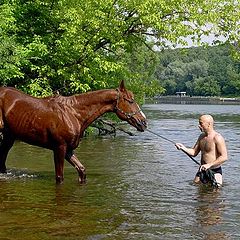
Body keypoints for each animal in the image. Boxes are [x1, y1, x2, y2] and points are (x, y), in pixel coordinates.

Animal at [0, 80, 146, 184]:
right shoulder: (59, 148)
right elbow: (60, 177)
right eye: (130, 101)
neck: (73, 113)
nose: (143, 122)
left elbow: (82, 170)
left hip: (9, 137)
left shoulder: (69, 150)